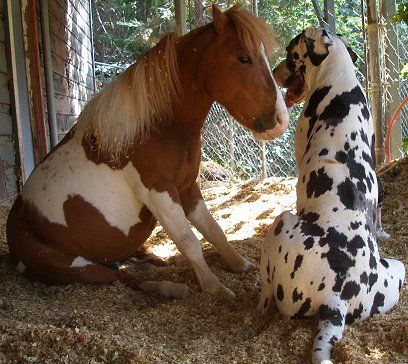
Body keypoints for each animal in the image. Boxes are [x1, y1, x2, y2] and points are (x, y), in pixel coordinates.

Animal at [6, 4, 288, 298]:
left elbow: (213, 229)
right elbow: (189, 241)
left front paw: (240, 264)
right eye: (244, 58)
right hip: (73, 266)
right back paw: (170, 287)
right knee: (120, 277)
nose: (280, 120)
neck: (158, 126)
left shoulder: (187, 188)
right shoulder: (159, 192)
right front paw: (216, 289)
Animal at [258, 29, 404, 364]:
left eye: (290, 54)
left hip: (281, 223)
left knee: (266, 293)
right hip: (398, 269)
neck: (340, 84)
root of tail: (337, 298)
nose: (275, 72)